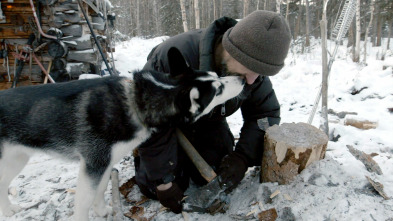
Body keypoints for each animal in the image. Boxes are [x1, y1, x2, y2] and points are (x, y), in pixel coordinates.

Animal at [0, 47, 243, 220]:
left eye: (215, 75)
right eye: (218, 90)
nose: (241, 78)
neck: (135, 102)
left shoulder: (106, 163)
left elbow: (100, 190)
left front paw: (101, 211)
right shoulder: (93, 164)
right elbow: (84, 202)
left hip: (17, 159)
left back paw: (9, 210)